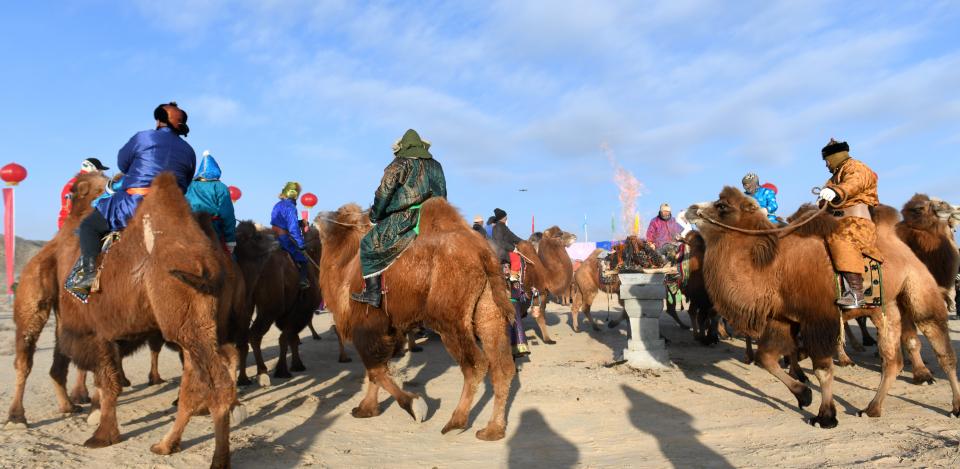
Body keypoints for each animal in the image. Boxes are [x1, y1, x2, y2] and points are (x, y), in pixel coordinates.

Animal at [6, 173, 238, 468]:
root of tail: (207, 263)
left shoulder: (92, 330)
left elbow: (108, 381)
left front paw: (102, 435)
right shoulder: (97, 330)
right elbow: (106, 379)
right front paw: (97, 420)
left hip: (187, 326)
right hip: (196, 326)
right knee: (198, 380)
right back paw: (164, 444)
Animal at [316, 199, 512, 440]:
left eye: (340, 213)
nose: (318, 217)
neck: (347, 266)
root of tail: (484, 253)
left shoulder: (367, 324)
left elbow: (375, 368)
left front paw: (414, 405)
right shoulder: (388, 327)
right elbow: (376, 369)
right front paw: (366, 409)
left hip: (449, 318)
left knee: (475, 364)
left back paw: (455, 422)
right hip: (488, 310)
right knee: (502, 366)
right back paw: (493, 429)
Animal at [688, 186, 960, 424]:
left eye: (722, 205)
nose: (690, 209)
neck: (775, 268)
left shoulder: (818, 317)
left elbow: (822, 370)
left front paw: (825, 416)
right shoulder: (782, 319)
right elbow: (766, 358)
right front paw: (803, 394)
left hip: (918, 289)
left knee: (942, 349)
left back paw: (954, 406)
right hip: (885, 308)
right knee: (891, 360)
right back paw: (872, 408)